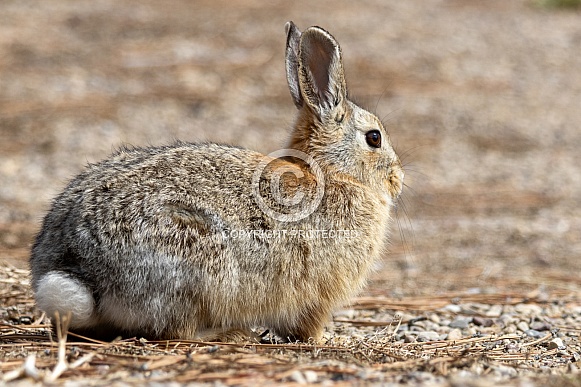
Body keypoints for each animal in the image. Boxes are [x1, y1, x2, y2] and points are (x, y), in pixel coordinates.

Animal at [29, 21, 404, 342]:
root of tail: (80, 270)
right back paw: (231, 333)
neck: (329, 172)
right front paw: (323, 340)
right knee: (176, 331)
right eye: (374, 138)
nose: (398, 179)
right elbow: (307, 324)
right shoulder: (316, 297)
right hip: (198, 262)